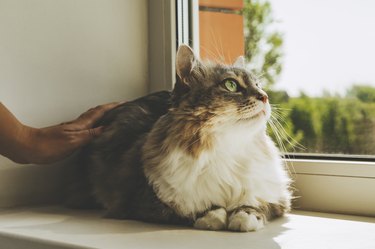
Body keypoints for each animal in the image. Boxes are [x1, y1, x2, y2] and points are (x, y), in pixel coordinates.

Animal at [67, 44, 290, 231]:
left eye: (258, 84)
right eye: (231, 85)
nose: (265, 97)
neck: (228, 148)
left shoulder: (276, 195)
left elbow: (257, 203)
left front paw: (245, 216)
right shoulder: (142, 201)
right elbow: (194, 210)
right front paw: (214, 217)